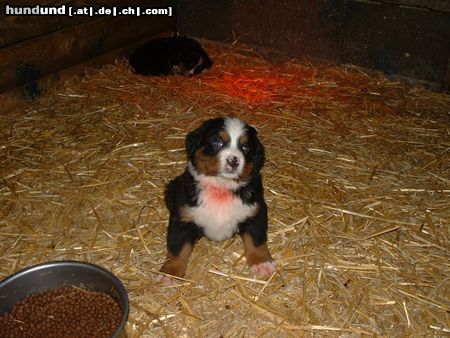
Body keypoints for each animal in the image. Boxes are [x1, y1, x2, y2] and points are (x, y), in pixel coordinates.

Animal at [160, 117, 276, 282]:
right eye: (217, 142)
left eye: (245, 147)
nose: (233, 160)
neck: (221, 187)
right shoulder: (182, 220)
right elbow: (177, 249)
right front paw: (170, 273)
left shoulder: (255, 214)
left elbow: (256, 241)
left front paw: (262, 263)